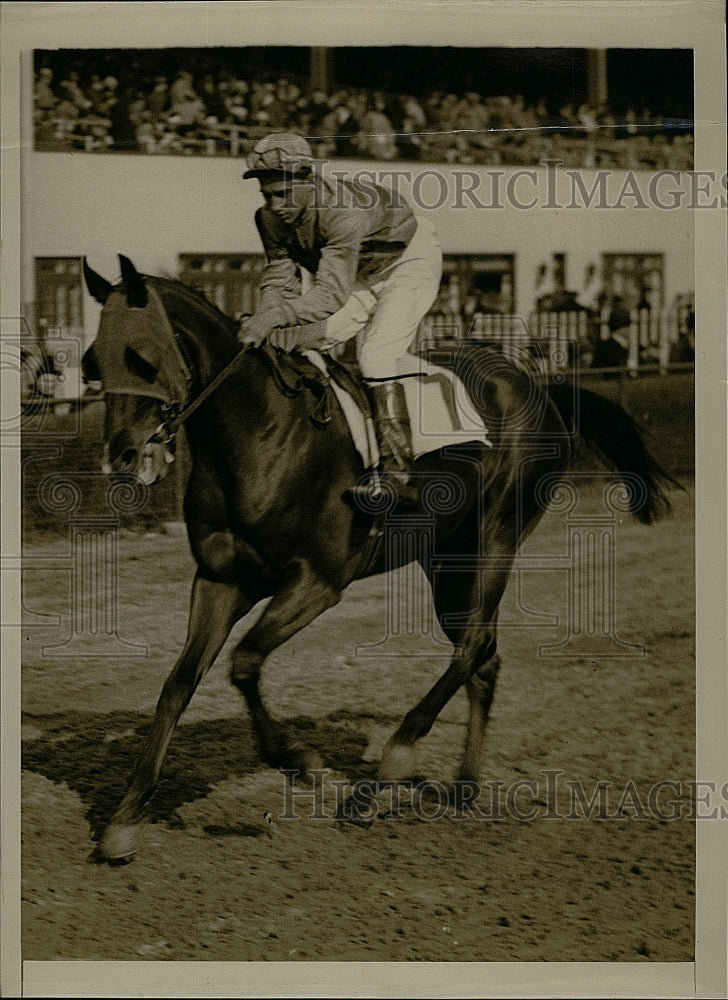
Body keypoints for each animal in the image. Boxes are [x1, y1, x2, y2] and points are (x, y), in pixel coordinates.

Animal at [81, 256, 676, 860]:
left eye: (140, 358)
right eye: (92, 363)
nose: (121, 456)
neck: (257, 436)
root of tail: (539, 385)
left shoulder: (317, 582)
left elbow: (245, 661)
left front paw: (301, 761)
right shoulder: (220, 580)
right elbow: (180, 684)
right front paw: (125, 818)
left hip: (494, 536)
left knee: (473, 645)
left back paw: (387, 770)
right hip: (446, 559)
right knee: (483, 656)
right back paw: (463, 786)